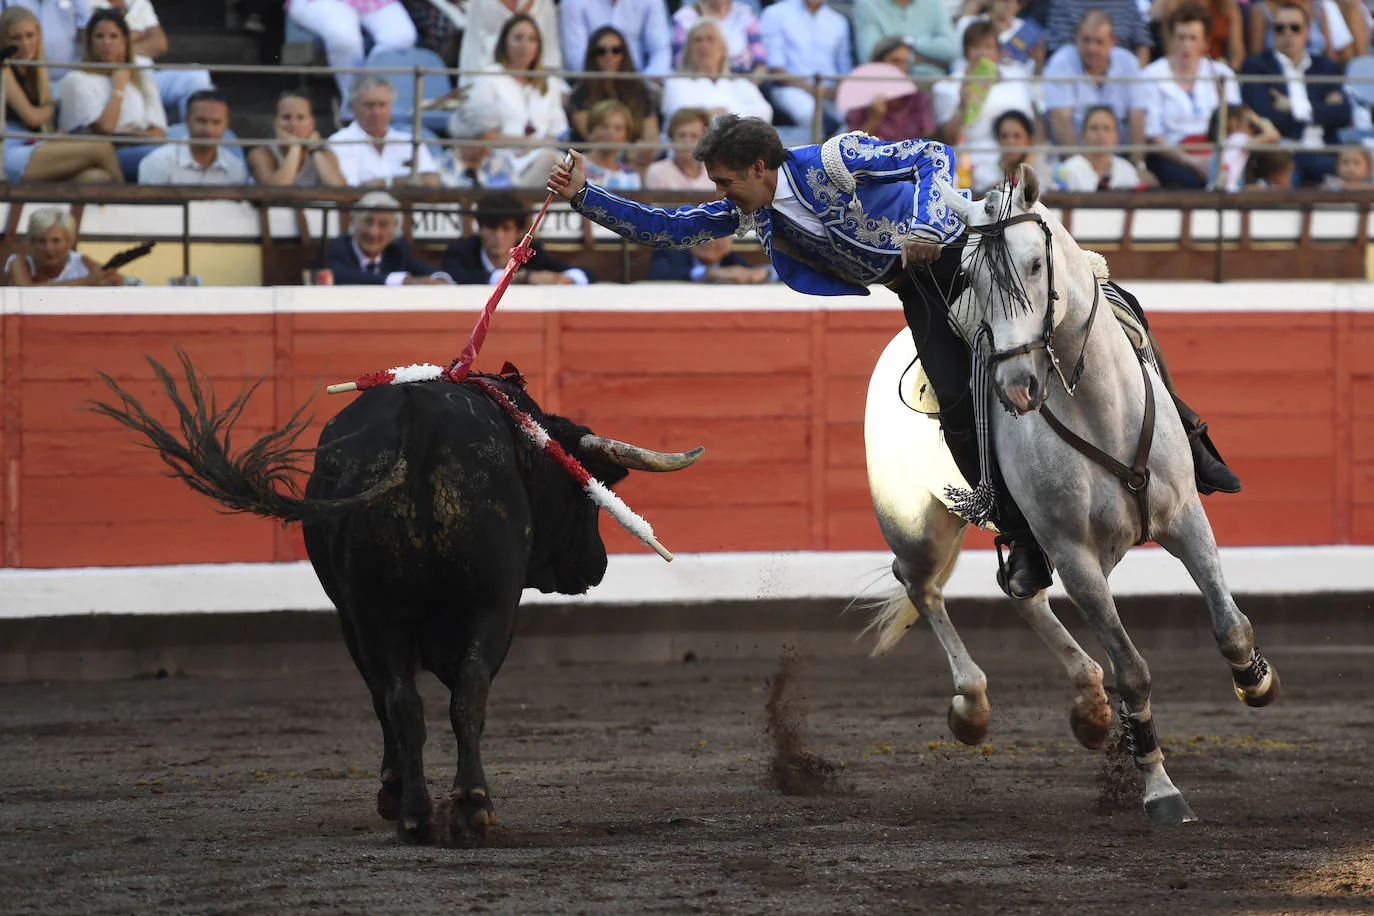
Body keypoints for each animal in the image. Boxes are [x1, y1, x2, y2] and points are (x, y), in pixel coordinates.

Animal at [91, 354, 703, 840]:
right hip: (466, 607)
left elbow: (399, 698)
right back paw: (456, 808)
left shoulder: (369, 619)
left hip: (387, 613)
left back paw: (425, 811)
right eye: (582, 496)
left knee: (412, 699)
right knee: (450, 694)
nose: (597, 566)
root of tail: (419, 423)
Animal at [868, 164, 1275, 823]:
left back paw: (1088, 704)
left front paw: (1255, 680)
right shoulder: (1076, 556)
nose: (1016, 386)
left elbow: (1229, 625)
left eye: (1037, 263)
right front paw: (1160, 790)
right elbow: (1132, 670)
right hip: (915, 525)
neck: (1099, 409)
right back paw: (972, 706)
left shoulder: (1184, 519)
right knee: (924, 588)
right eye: (970, 277)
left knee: (1023, 590)